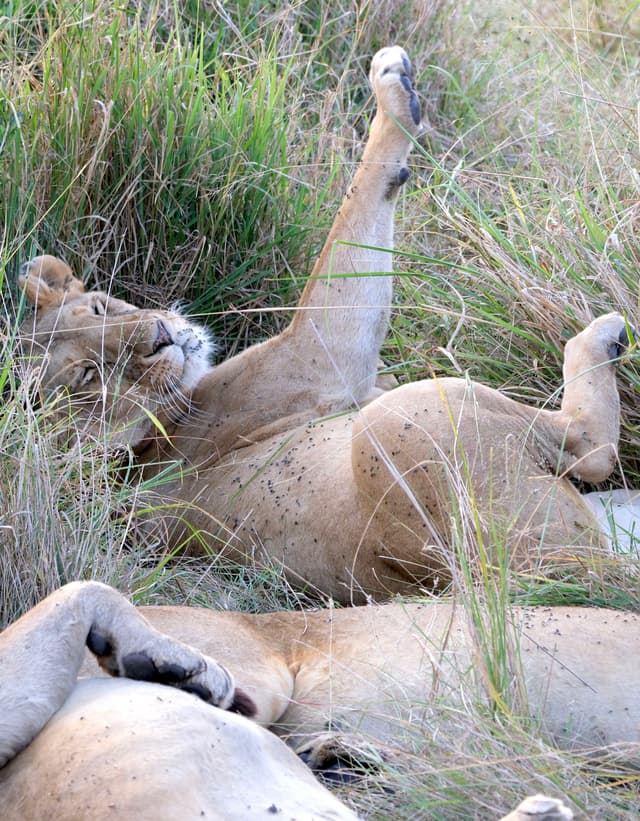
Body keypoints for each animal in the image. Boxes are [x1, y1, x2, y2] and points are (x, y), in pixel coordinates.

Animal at [17, 46, 637, 603]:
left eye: (100, 310)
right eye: (88, 379)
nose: (160, 339)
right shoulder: (321, 354)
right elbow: (355, 211)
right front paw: (392, 89)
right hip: (409, 420)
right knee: (589, 446)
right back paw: (601, 335)